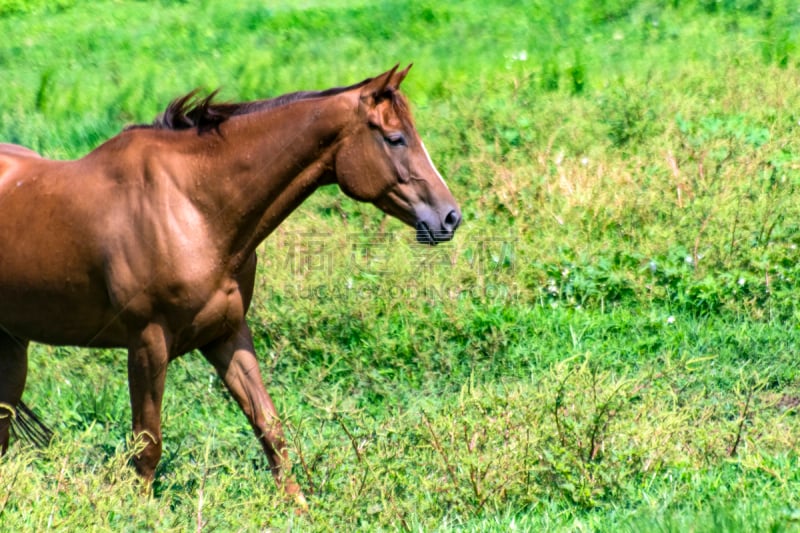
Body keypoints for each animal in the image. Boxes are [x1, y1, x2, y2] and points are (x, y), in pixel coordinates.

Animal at [0, 65, 462, 502]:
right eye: (396, 138)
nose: (450, 216)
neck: (191, 206)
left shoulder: (227, 334)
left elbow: (270, 428)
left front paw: (298, 507)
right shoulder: (147, 343)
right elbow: (147, 447)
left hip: (14, 346)